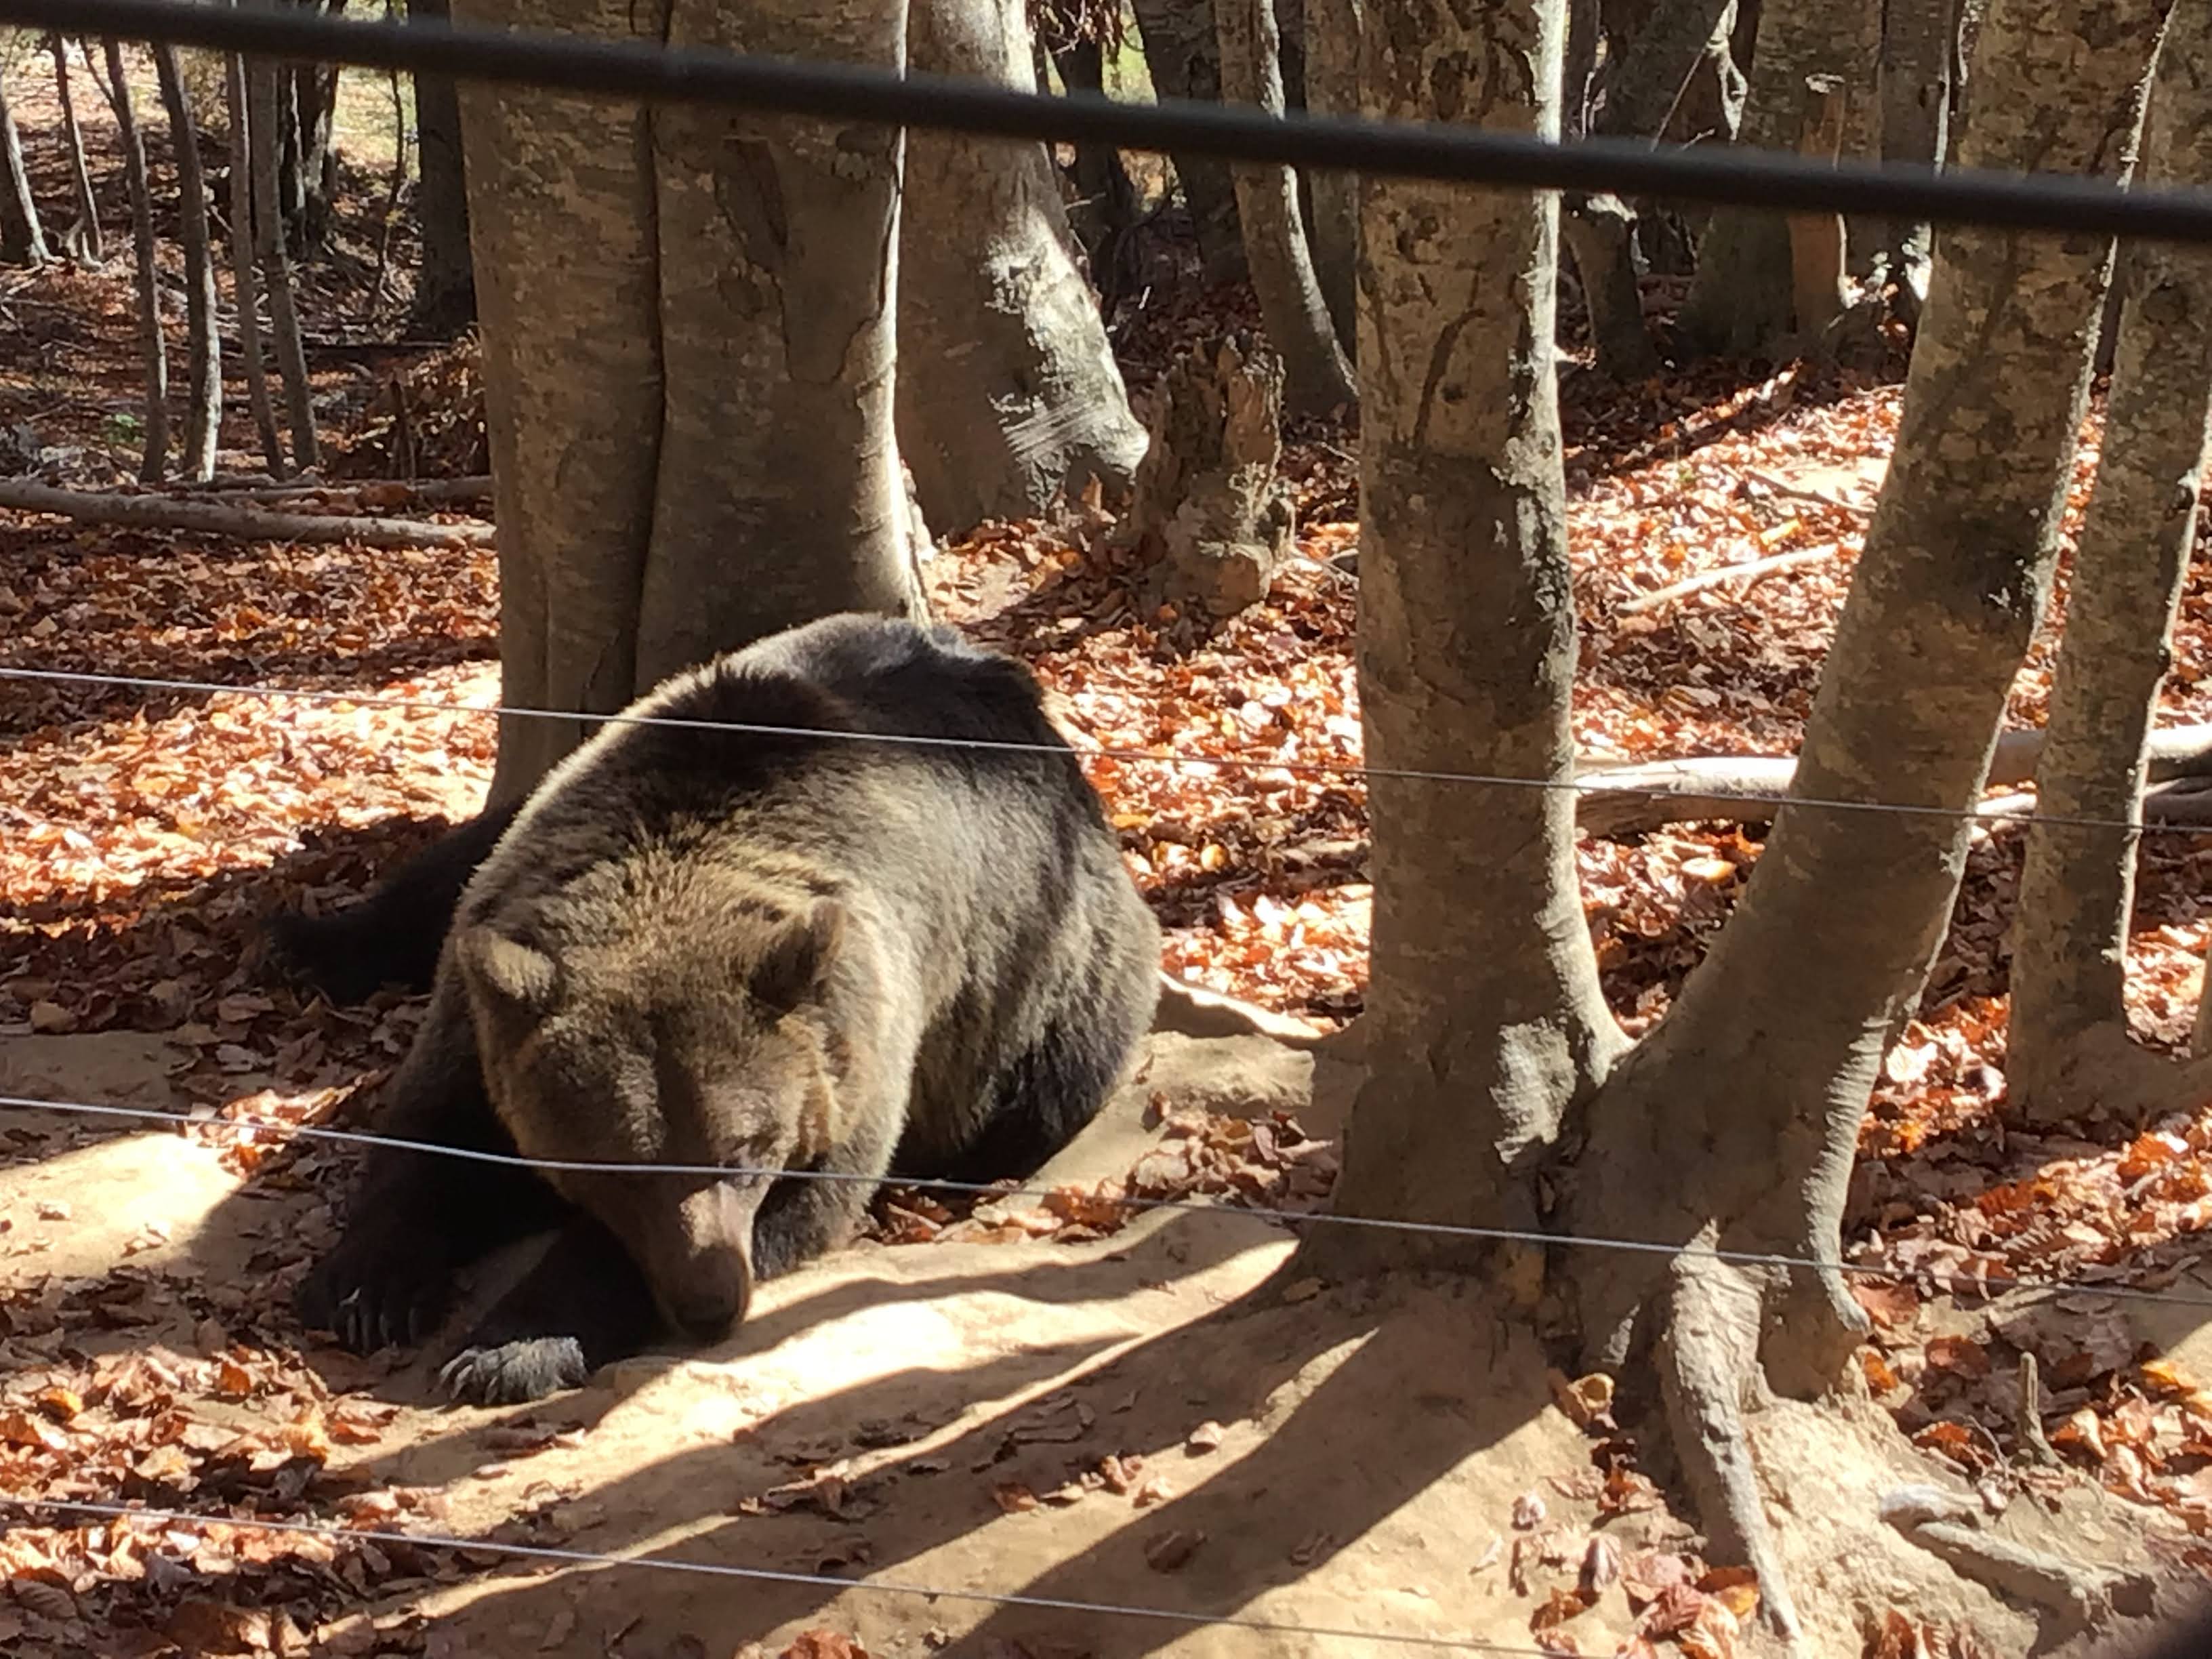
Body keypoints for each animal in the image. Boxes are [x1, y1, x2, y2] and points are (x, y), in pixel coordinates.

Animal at [293, 613, 1163, 1406]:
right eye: (618, 1167)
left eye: (744, 1151)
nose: (711, 1302)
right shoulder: (493, 991)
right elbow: (429, 1135)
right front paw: (369, 1289)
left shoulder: (863, 1046)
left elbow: (805, 1197)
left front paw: (511, 1347)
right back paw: (301, 942)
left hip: (1052, 987)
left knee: (1039, 1095)